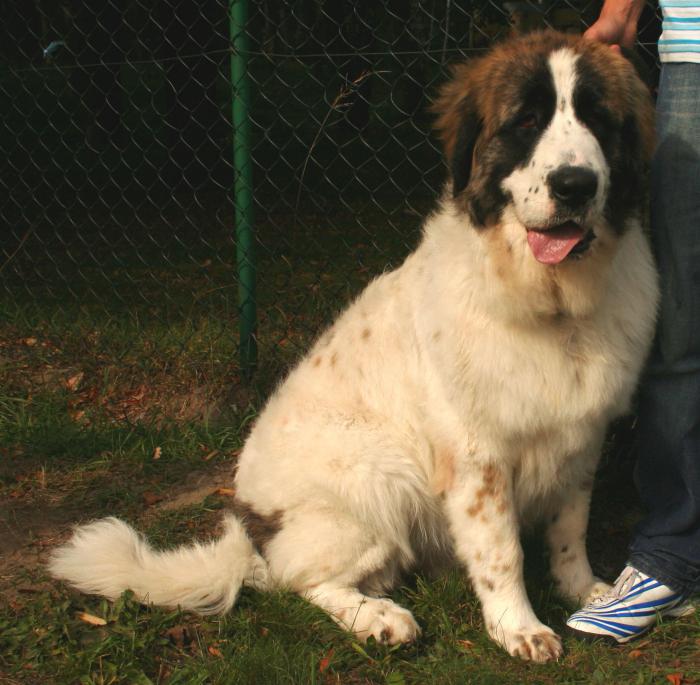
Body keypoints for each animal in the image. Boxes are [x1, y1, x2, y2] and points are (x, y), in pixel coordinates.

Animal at [52, 33, 660, 664]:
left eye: (598, 120)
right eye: (526, 122)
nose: (575, 184)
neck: (553, 306)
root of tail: (253, 534)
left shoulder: (580, 438)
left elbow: (570, 528)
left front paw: (585, 591)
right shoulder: (479, 458)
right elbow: (501, 551)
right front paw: (518, 627)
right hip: (380, 476)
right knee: (296, 580)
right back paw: (379, 619)